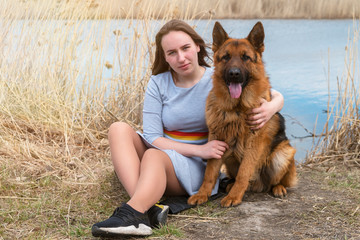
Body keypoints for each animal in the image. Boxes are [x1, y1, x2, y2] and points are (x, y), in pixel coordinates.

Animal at [187, 21, 296, 207]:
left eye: (246, 57)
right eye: (226, 57)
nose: (234, 74)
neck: (237, 109)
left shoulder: (254, 143)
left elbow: (244, 173)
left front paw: (234, 197)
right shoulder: (217, 140)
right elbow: (210, 172)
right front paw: (202, 194)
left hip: (283, 154)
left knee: (277, 180)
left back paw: (278, 188)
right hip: (230, 158)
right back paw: (230, 185)